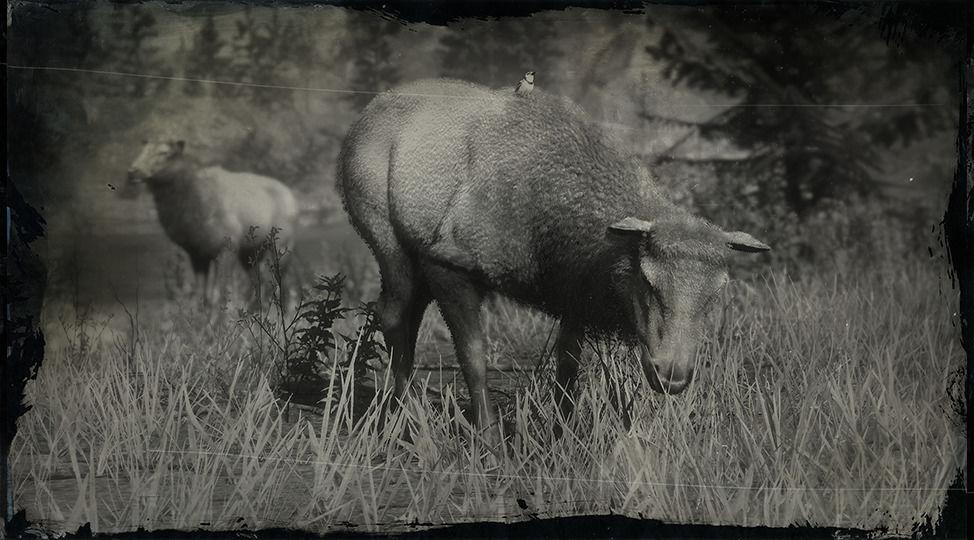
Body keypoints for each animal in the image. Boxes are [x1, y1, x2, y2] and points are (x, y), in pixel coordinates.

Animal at [127, 139, 300, 300]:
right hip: (251, 252)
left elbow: (219, 294)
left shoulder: (225, 247)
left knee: (280, 284)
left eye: (164, 153)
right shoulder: (196, 252)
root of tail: (291, 196)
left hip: (281, 245)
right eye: (142, 150)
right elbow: (202, 295)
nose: (132, 171)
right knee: (259, 283)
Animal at [338, 79, 772, 430]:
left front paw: (562, 432)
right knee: (393, 315)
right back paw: (405, 413)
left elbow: (567, 364)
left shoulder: (574, 290)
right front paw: (489, 437)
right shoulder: (449, 262)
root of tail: (371, 108)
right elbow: (474, 356)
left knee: (406, 315)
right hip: (386, 237)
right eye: (648, 282)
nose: (673, 375)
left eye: (716, 294)